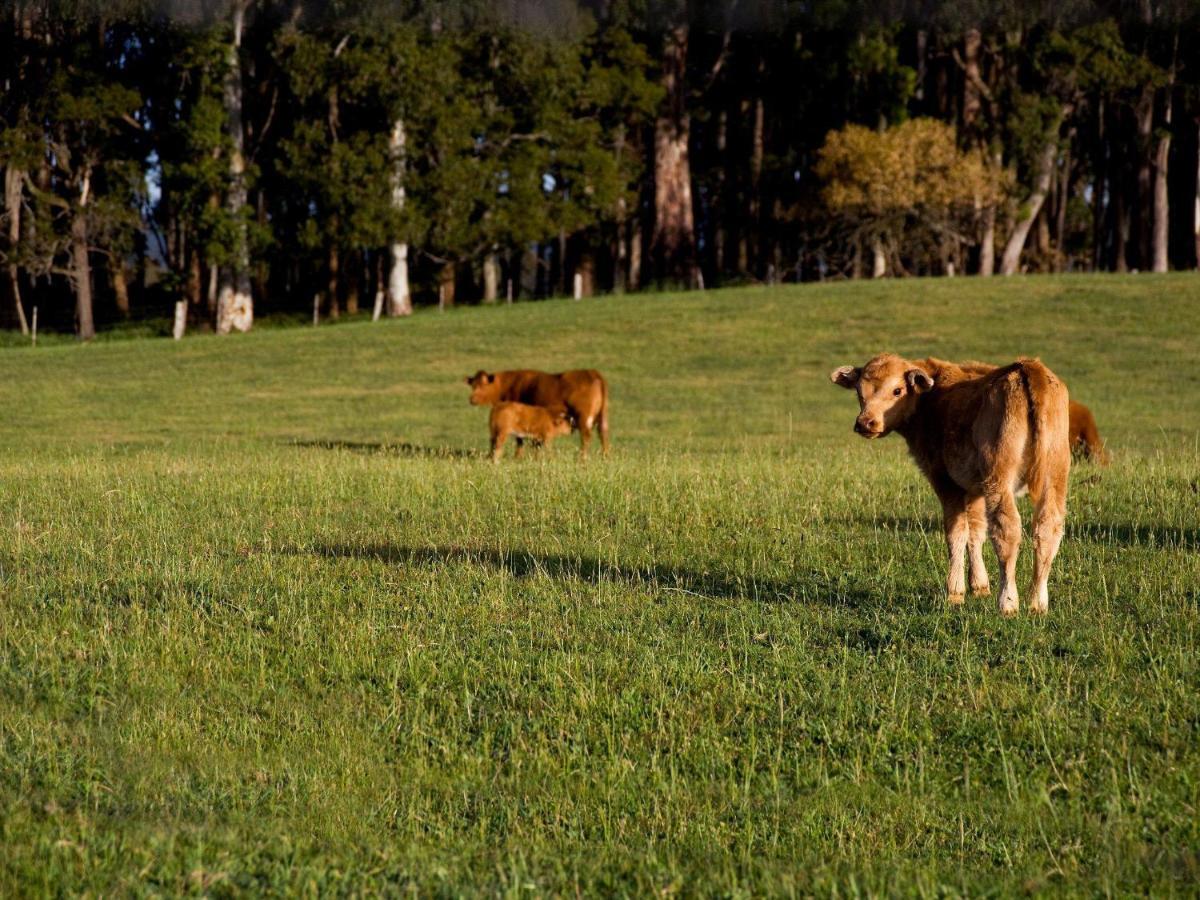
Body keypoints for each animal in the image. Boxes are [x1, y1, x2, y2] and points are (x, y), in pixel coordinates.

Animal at [460, 369, 609, 460]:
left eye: (483, 385)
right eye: (473, 385)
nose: (472, 399)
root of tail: (592, 372)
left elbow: (520, 439)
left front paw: (518, 457)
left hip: (583, 417)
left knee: (586, 437)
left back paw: (582, 458)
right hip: (602, 417)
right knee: (603, 434)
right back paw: (605, 456)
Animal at [830, 355, 1075, 619]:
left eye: (897, 390)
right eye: (859, 391)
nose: (865, 422)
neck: (930, 400)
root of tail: (1028, 367)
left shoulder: (946, 482)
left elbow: (956, 533)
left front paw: (955, 593)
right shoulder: (975, 489)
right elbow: (976, 531)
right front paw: (979, 586)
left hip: (999, 479)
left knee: (1007, 530)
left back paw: (1008, 602)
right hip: (1054, 475)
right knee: (1048, 527)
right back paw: (1038, 602)